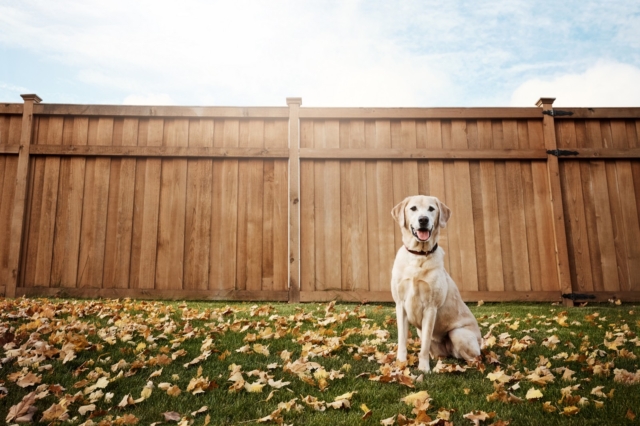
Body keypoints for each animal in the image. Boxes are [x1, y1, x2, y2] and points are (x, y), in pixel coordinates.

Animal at [390, 195, 480, 372]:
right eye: (413, 208)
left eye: (431, 209)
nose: (423, 219)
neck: (418, 255)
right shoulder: (400, 305)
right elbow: (402, 340)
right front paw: (401, 364)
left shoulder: (430, 308)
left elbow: (424, 345)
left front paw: (423, 369)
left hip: (458, 334)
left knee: (475, 358)